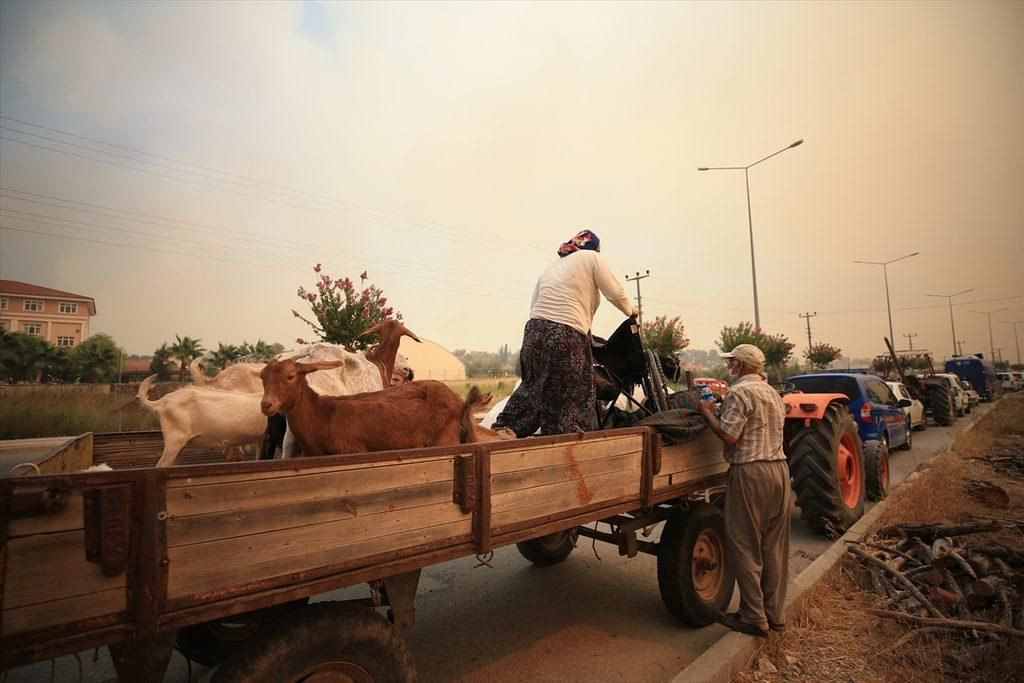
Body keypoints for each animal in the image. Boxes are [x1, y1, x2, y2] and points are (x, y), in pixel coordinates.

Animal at [258, 358, 493, 458]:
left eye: (290, 376)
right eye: (262, 377)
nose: (266, 404)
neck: (322, 416)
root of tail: (461, 403)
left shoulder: (353, 451)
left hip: (446, 442)